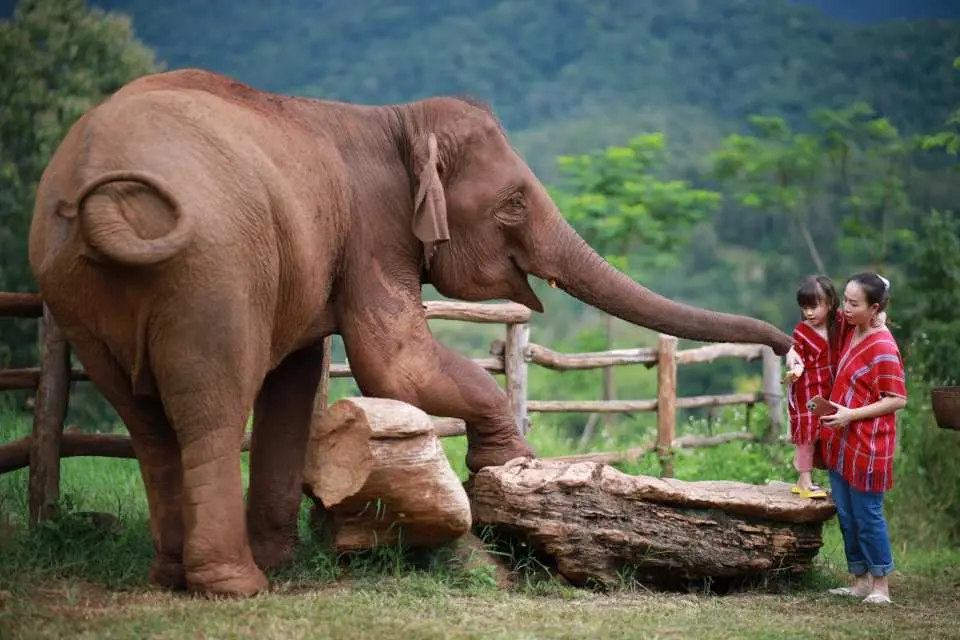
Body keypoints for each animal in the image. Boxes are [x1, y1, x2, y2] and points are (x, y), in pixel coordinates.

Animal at [28, 68, 793, 598]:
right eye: (513, 204)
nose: (789, 343)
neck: (393, 118)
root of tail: (96, 183)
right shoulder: (374, 225)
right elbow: (390, 363)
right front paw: (511, 467)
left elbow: (299, 379)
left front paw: (289, 557)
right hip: (209, 270)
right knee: (209, 409)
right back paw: (235, 587)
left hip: (77, 288)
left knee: (147, 424)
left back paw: (175, 577)